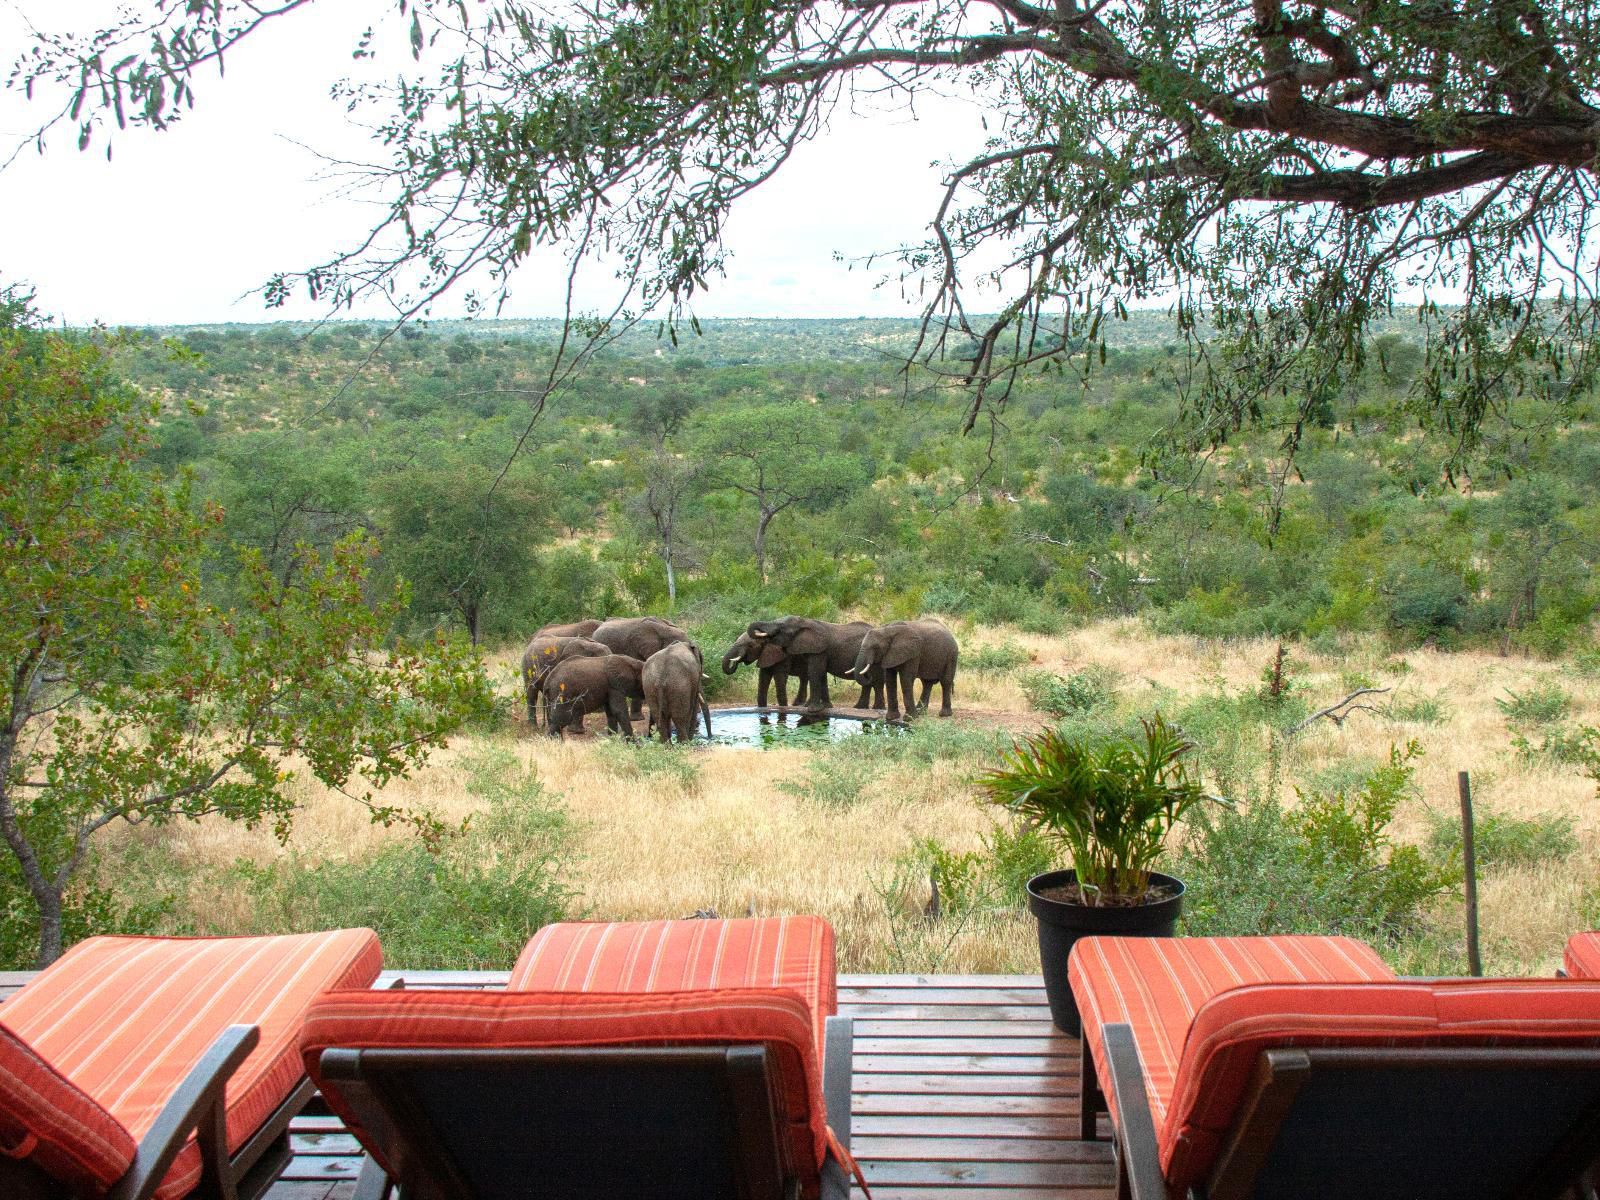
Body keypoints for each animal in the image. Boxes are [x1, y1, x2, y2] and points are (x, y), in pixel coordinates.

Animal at [739, 620, 883, 713]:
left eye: (781, 629)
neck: (804, 622)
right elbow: (821, 673)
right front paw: (826, 707)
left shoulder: (819, 649)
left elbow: (815, 672)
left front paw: (813, 710)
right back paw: (860, 708)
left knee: (876, 681)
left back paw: (874, 708)